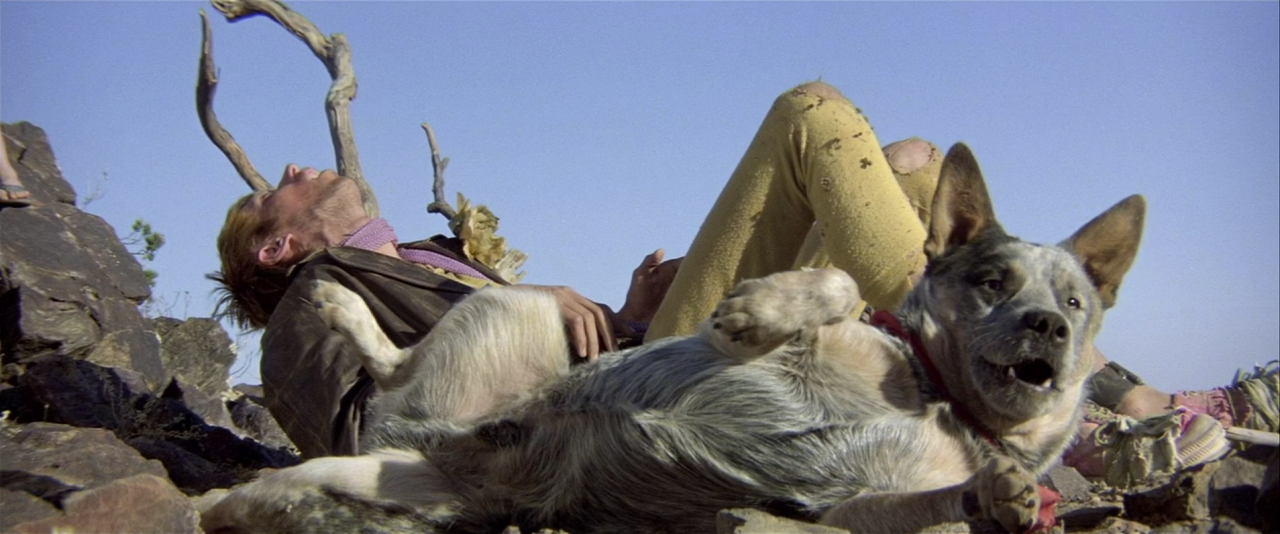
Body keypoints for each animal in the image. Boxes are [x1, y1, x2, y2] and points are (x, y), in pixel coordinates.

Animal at [201, 143, 1145, 533]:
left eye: (1076, 302)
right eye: (992, 281)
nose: (1050, 326)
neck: (935, 395)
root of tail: (458, 443)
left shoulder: (847, 508)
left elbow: (931, 502)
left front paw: (1006, 498)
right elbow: (838, 285)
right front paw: (757, 308)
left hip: (397, 474)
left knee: (277, 488)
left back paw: (250, 507)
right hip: (526, 314)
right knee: (393, 357)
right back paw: (338, 305)